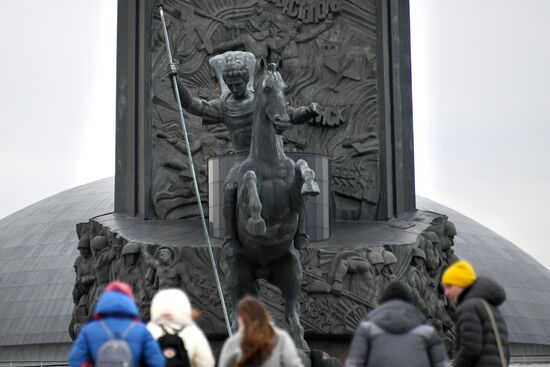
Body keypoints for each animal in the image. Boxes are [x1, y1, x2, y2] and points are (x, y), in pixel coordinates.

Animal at [235, 59, 322, 352]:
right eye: (267, 89)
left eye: (285, 88)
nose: (283, 121)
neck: (270, 161)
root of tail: (263, 269)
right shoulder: (244, 190)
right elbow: (249, 180)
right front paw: (257, 221)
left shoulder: (293, 201)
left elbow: (303, 166)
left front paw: (311, 184)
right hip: (239, 275)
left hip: (291, 272)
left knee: (291, 309)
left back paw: (301, 344)